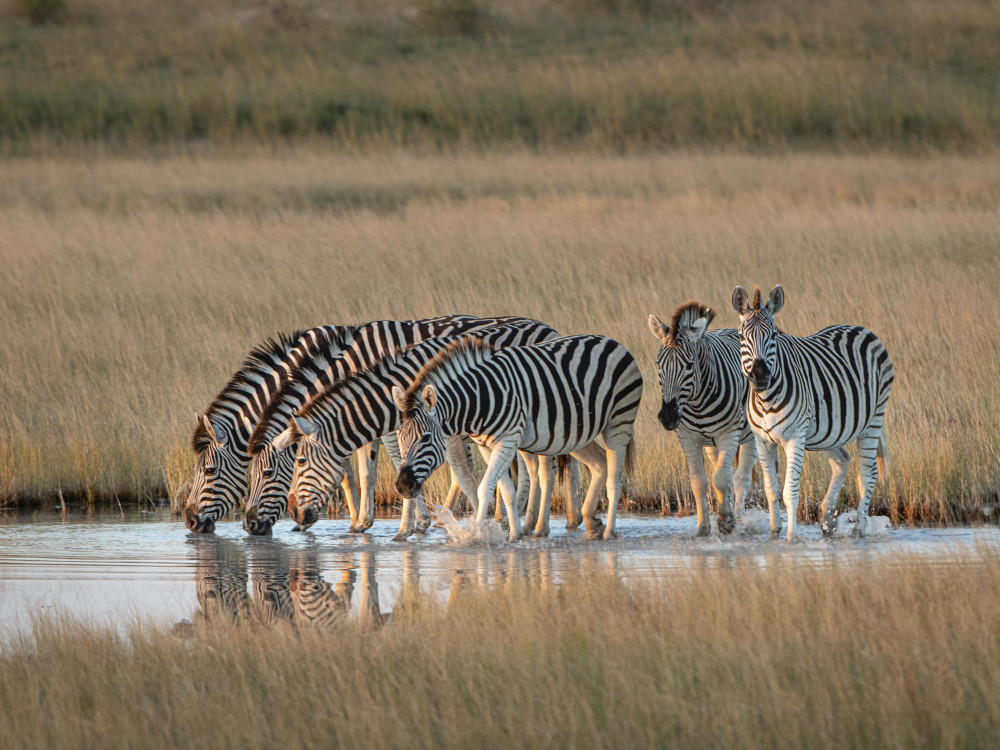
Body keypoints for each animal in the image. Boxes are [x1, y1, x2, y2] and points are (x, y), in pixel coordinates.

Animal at [245, 316, 577, 535]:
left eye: (269, 472)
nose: (249, 525)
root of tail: (547, 327)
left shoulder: (421, 430)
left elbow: (451, 474)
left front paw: (415, 528)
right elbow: (363, 471)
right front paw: (364, 523)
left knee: (549, 465)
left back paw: (545, 524)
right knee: (541, 463)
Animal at [391, 334, 643, 541]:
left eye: (425, 438)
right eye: (401, 438)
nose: (402, 487)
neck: (479, 400)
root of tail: (612, 342)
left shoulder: (508, 439)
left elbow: (485, 487)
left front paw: (477, 534)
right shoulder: (487, 446)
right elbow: (507, 491)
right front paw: (514, 535)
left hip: (618, 423)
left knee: (614, 479)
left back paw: (609, 533)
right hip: (577, 432)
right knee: (600, 464)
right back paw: (593, 525)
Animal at [647, 301, 757, 536]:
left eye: (689, 365)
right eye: (658, 364)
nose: (667, 417)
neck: (698, 403)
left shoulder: (729, 433)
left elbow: (722, 479)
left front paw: (725, 522)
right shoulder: (688, 437)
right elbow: (700, 482)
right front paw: (703, 528)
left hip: (751, 436)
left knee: (741, 478)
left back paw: (738, 519)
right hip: (711, 444)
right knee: (723, 471)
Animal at [732, 285, 894, 540]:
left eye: (774, 336)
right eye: (740, 337)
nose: (760, 376)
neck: (766, 399)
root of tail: (862, 329)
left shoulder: (795, 438)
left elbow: (789, 491)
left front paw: (791, 538)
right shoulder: (762, 440)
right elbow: (771, 489)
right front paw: (773, 534)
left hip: (873, 420)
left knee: (868, 475)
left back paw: (858, 529)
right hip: (831, 431)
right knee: (842, 461)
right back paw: (827, 519)